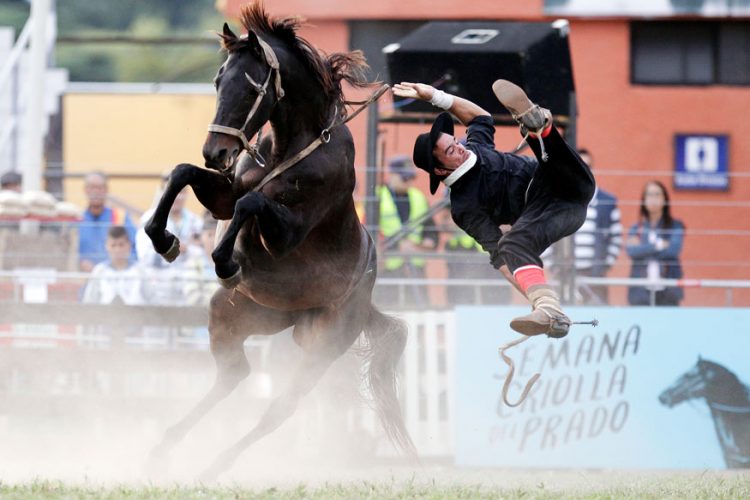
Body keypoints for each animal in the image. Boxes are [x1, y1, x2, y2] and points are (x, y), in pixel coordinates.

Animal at [146, 1, 418, 478]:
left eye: (252, 85)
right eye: (218, 80)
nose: (215, 152)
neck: (292, 146)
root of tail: (367, 304)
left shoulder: (287, 233)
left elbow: (251, 202)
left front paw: (225, 261)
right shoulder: (222, 192)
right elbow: (185, 175)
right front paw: (163, 239)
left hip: (321, 347)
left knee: (281, 407)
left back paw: (215, 464)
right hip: (239, 316)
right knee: (233, 374)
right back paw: (165, 448)